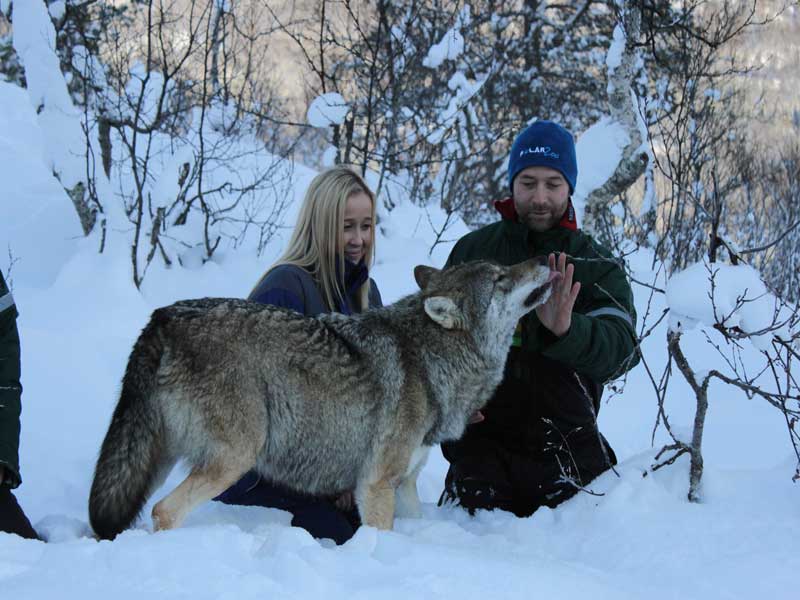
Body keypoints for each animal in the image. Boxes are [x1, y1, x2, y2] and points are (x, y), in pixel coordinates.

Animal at [87, 258, 556, 540]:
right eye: (500, 278)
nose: (544, 260)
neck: (431, 359)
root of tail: (163, 317)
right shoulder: (376, 485)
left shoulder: (403, 484)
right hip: (235, 457)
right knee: (164, 511)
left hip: (154, 459)